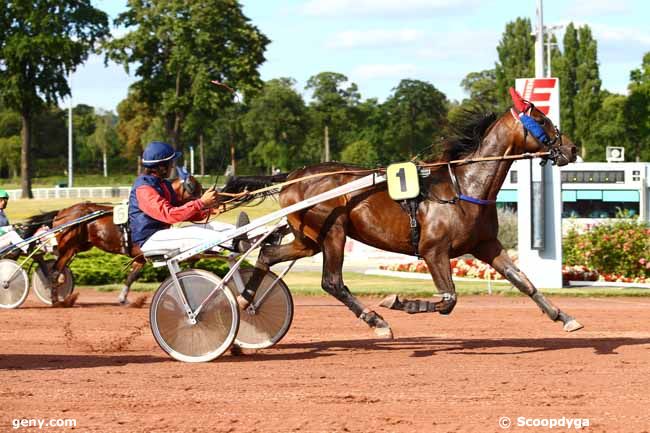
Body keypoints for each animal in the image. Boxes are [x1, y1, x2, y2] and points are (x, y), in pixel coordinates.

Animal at [48, 170, 201, 306]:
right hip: (70, 246)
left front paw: (124, 298)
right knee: (55, 269)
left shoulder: (141, 256)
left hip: (81, 245)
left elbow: (132, 276)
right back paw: (56, 300)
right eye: (194, 188)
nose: (205, 200)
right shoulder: (145, 250)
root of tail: (62, 212)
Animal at [230, 88, 580, 338]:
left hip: (309, 239)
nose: (572, 148)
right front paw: (398, 301)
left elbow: (523, 281)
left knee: (267, 253)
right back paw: (377, 321)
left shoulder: (486, 245)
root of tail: (292, 175)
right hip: (333, 232)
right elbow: (449, 299)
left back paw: (246, 300)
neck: (464, 186)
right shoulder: (433, 250)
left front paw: (564, 317)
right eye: (543, 120)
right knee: (332, 282)